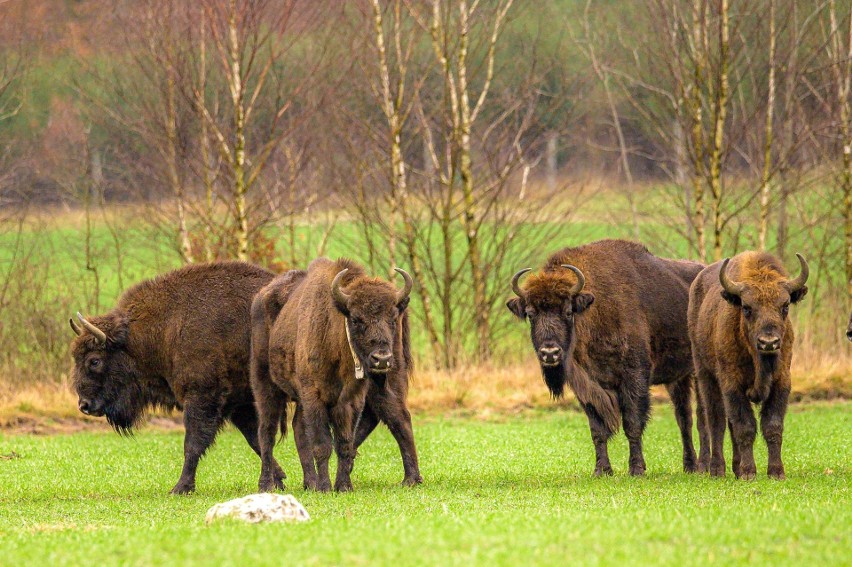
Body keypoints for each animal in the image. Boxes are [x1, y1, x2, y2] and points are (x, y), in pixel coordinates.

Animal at [67, 260, 286, 492]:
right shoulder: (238, 403)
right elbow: (256, 439)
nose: (84, 405)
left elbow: (193, 443)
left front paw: (180, 488)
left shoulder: (202, 395)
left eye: (94, 361)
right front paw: (279, 480)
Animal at [250, 258, 416, 492]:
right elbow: (322, 444)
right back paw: (267, 485)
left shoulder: (350, 400)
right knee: (267, 433)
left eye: (392, 318)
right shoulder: (313, 396)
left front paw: (344, 486)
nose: (381, 359)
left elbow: (343, 442)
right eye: (356, 319)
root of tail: (260, 297)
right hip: (265, 385)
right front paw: (326, 487)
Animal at [506, 242, 704, 478]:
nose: (550, 353)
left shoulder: (634, 376)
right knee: (684, 417)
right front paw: (601, 470)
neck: (594, 309)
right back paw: (690, 466)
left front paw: (637, 469)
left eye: (568, 311)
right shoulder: (587, 386)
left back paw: (704, 465)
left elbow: (632, 423)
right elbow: (597, 430)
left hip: (697, 373)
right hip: (677, 378)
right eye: (530, 313)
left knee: (701, 416)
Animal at [688, 253, 808, 480]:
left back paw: (735, 467)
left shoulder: (782, 381)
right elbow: (744, 427)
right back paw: (717, 469)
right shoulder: (732, 384)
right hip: (704, 374)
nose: (768, 342)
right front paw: (748, 472)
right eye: (746, 307)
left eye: (785, 306)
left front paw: (776, 472)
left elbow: (772, 426)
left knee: (727, 424)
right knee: (715, 421)